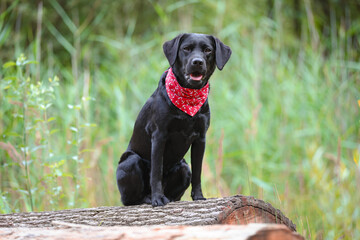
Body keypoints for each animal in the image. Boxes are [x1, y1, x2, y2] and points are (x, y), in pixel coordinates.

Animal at [116, 33, 232, 206]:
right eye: (186, 48)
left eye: (208, 50)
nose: (197, 62)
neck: (188, 97)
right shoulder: (159, 135)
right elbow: (156, 172)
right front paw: (157, 199)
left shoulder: (200, 138)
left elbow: (198, 172)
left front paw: (199, 197)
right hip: (130, 160)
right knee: (131, 199)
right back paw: (149, 198)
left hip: (184, 167)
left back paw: (169, 198)